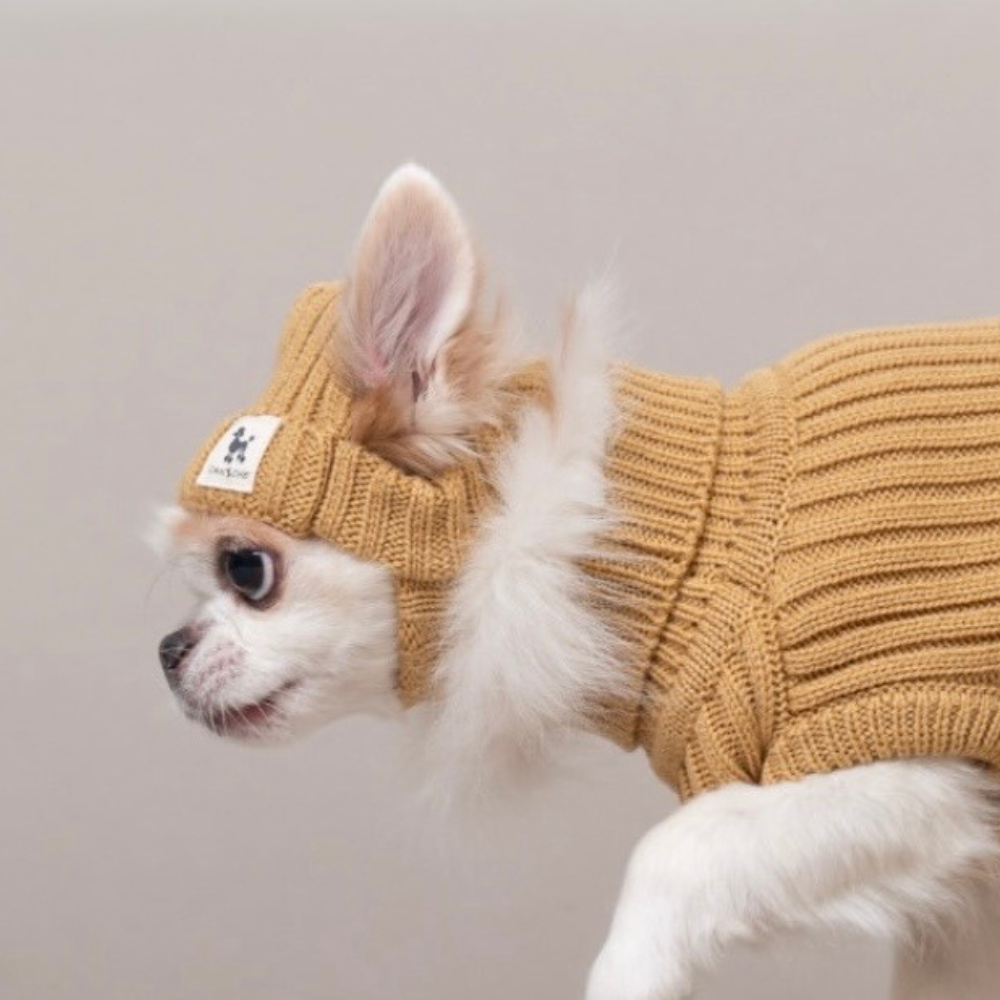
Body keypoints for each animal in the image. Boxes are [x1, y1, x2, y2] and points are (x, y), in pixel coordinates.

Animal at [152, 164, 1000, 999]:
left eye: (246, 569)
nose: (167, 650)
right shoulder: (962, 887)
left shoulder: (917, 777)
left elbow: (673, 854)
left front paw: (629, 975)